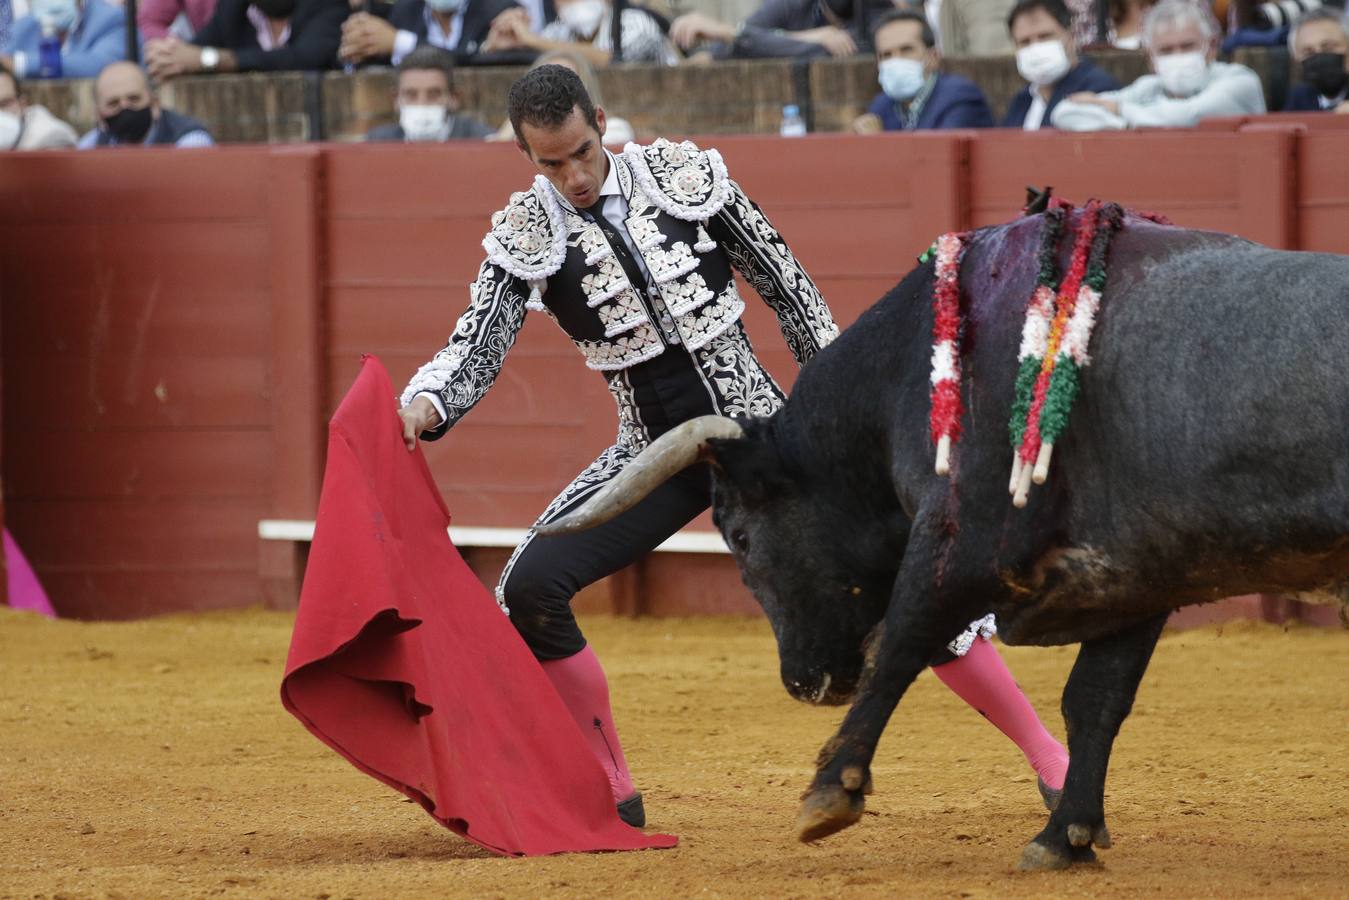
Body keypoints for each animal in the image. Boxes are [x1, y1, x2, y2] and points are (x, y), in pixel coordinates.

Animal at [539, 209, 1349, 863]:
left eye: (736, 533)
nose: (804, 683)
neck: (911, 371)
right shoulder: (1132, 577)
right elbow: (1095, 698)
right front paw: (1064, 839)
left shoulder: (963, 539)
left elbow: (900, 644)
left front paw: (828, 794)